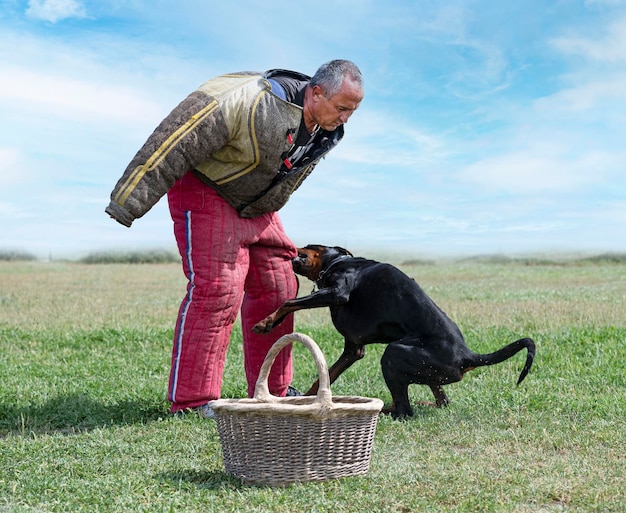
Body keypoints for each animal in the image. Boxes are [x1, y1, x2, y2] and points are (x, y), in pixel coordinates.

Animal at [251, 246, 532, 418]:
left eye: (312, 245)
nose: (294, 249)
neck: (339, 262)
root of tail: (468, 355)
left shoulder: (337, 293)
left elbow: (289, 301)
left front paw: (267, 323)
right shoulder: (353, 349)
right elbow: (325, 376)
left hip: (394, 353)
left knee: (403, 410)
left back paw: (383, 410)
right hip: (427, 370)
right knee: (440, 400)